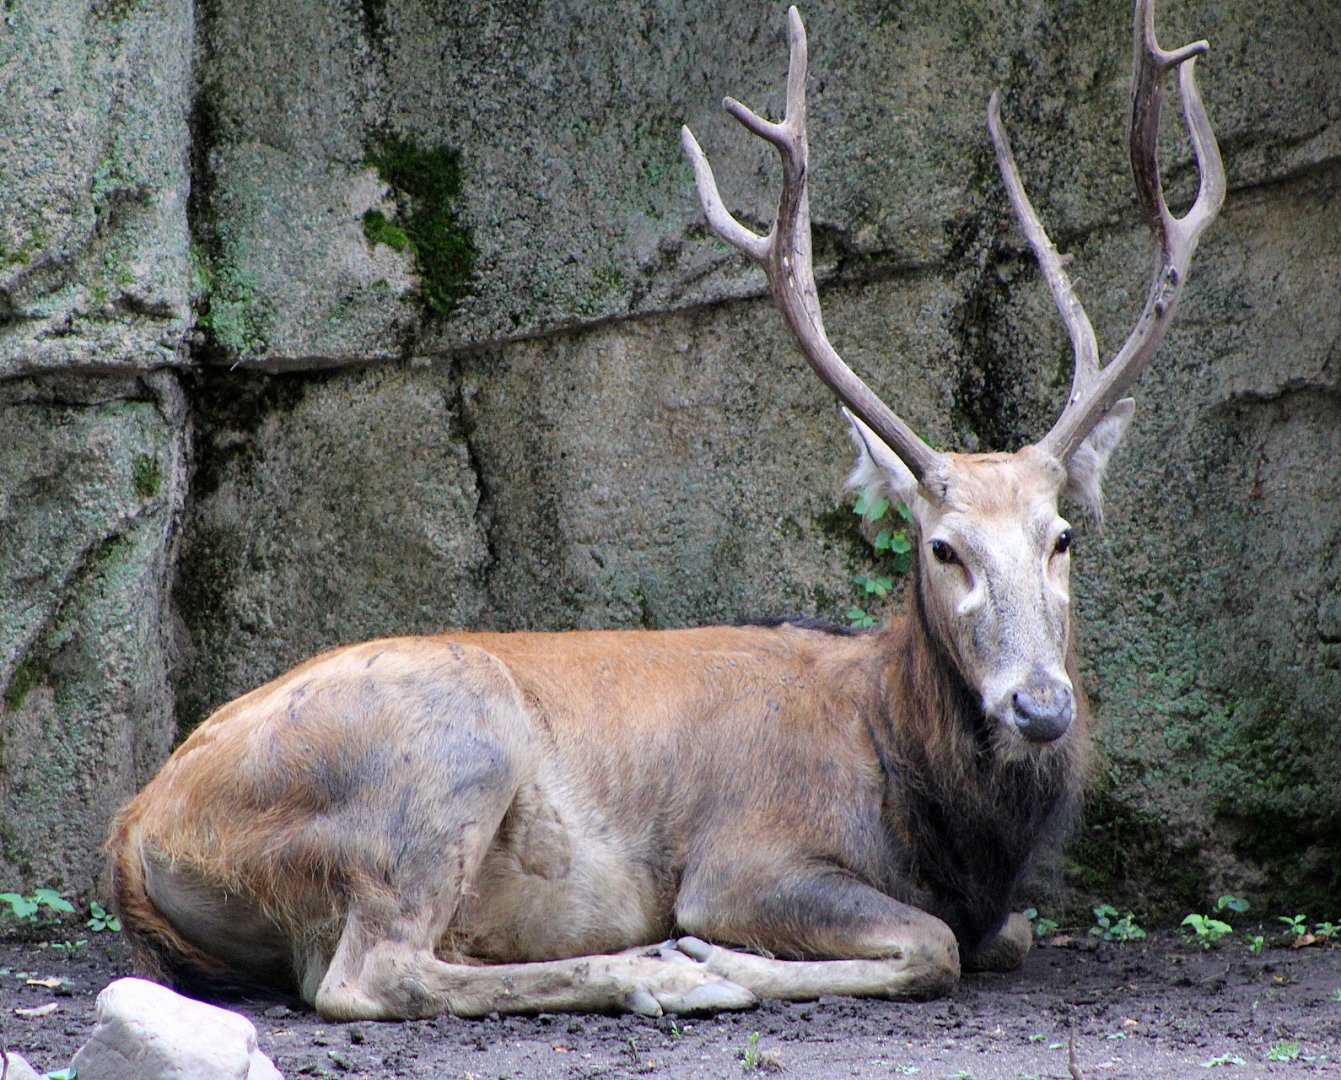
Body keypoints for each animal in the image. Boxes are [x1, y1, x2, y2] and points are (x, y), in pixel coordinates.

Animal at [108, 0, 1223, 1020]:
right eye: (943, 547)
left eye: (1061, 536)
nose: (1039, 706)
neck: (933, 809)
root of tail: (134, 831)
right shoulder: (748, 853)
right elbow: (932, 944)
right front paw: (718, 957)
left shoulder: (990, 902)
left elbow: (1010, 933)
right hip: (442, 752)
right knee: (369, 973)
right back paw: (663, 973)